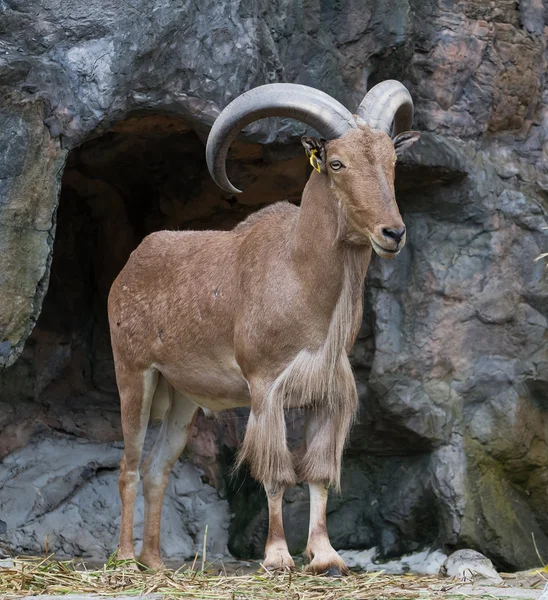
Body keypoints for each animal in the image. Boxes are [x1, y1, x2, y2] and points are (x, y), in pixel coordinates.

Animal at [108, 79, 420, 572]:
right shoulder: (265, 387)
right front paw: (277, 557)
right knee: (130, 466)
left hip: (182, 397)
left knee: (158, 468)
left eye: (392, 161)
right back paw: (124, 559)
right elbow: (276, 474)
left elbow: (317, 473)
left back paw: (155, 562)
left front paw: (326, 557)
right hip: (134, 375)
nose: (392, 233)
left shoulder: (326, 394)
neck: (300, 275)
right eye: (337, 163)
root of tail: (129, 269)